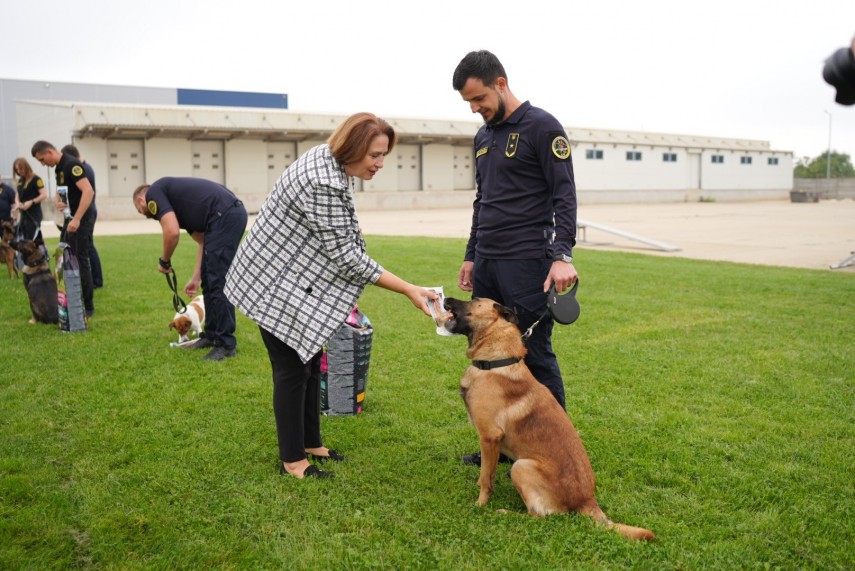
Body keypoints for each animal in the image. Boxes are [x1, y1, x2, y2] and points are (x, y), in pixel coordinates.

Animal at [442, 298, 656, 544]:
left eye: (475, 301)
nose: (446, 299)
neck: (496, 361)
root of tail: (587, 500)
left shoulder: (489, 436)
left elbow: (487, 479)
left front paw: (480, 504)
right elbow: (486, 473)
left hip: (520, 466)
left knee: (539, 515)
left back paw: (505, 513)